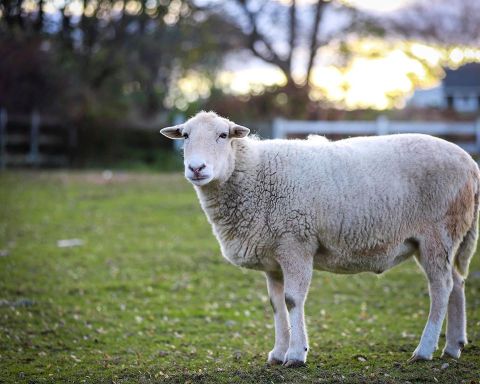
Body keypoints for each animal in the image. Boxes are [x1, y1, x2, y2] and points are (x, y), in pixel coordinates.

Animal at [162, 110, 480, 366]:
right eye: (185, 135)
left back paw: (424, 350)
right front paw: (278, 353)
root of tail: (470, 163)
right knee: (457, 283)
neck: (255, 174)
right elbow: (276, 304)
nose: (196, 168)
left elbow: (292, 300)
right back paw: (453, 347)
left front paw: (295, 355)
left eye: (223, 135)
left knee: (441, 288)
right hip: (446, 236)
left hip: (438, 232)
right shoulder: (273, 258)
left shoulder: (295, 244)